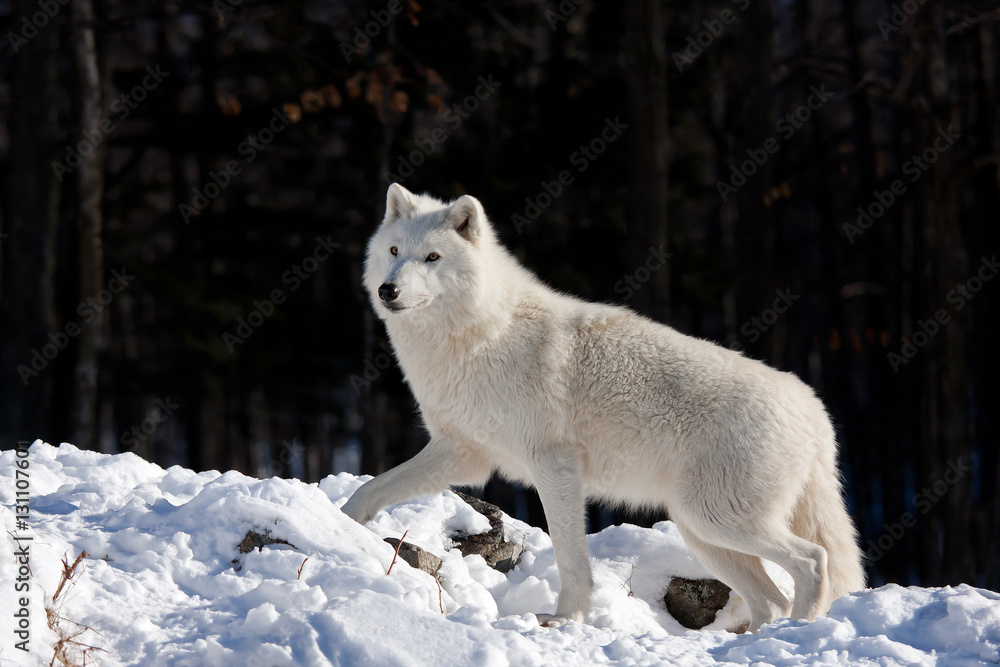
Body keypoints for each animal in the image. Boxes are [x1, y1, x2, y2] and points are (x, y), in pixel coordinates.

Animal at [342, 183, 865, 631]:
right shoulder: (463, 454)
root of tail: (814, 409)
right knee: (771, 600)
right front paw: (336, 524)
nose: (389, 291)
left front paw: (564, 621)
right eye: (395, 252)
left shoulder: (553, 468)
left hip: (716, 521)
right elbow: (370, 491)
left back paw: (799, 629)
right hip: (704, 533)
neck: (480, 335)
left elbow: (573, 561)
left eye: (432, 257)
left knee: (812, 561)